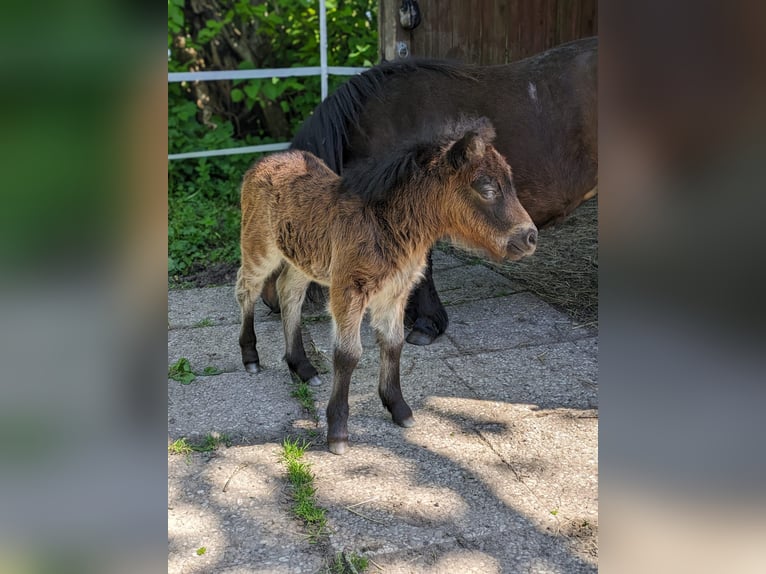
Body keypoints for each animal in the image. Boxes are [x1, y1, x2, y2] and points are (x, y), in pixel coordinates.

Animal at [237, 118, 536, 460]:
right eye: (487, 189)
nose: (530, 237)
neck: (387, 223)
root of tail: (264, 161)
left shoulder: (395, 293)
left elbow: (393, 344)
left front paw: (399, 409)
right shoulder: (348, 289)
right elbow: (347, 355)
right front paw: (338, 432)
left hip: (302, 258)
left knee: (288, 292)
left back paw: (303, 368)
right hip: (259, 246)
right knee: (247, 288)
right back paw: (251, 357)